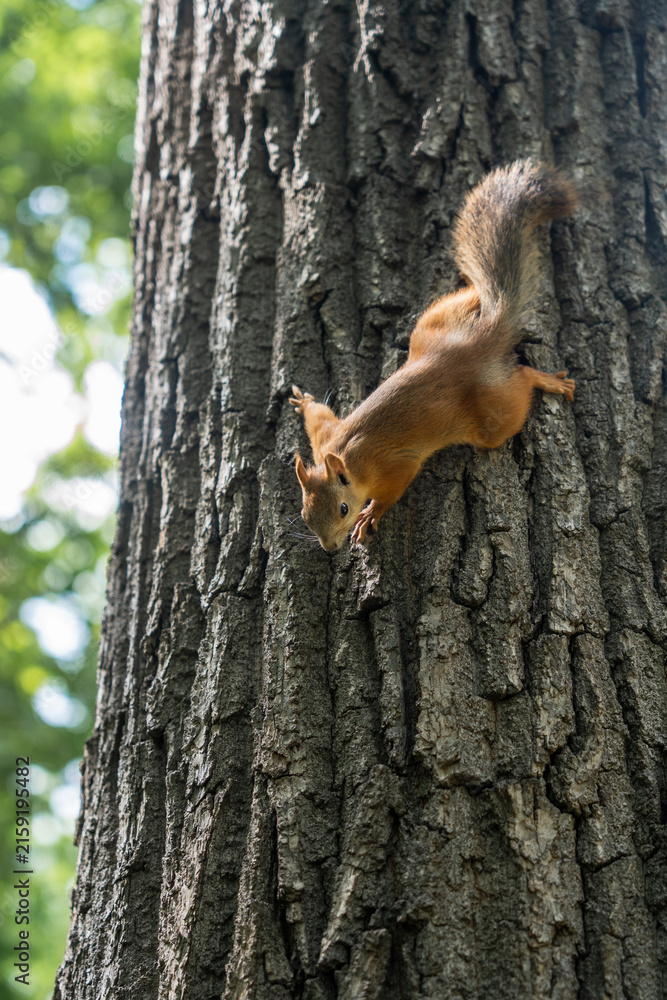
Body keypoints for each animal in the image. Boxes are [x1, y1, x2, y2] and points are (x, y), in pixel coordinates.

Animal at [290, 159, 577, 552]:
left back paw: (545, 380)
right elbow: (318, 416)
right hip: (431, 324)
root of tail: (478, 340)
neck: (350, 457)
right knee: (475, 297)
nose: (330, 548)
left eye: (344, 508)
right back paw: (477, 292)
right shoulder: (324, 438)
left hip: (494, 414)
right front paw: (303, 401)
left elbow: (393, 490)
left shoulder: (395, 465)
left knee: (520, 382)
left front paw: (371, 515)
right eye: (305, 515)